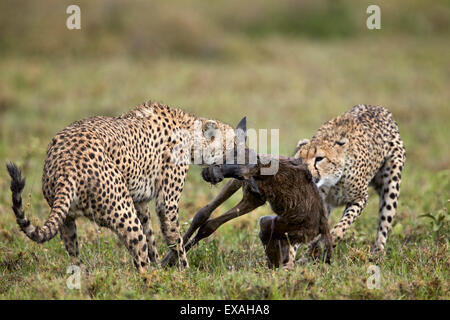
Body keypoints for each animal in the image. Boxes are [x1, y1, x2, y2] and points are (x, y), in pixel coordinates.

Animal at [5, 100, 243, 272]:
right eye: (233, 143)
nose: (242, 155)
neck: (189, 132)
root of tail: (66, 163)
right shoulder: (165, 203)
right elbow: (174, 238)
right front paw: (184, 273)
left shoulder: (140, 201)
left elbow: (151, 235)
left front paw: (160, 265)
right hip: (122, 211)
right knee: (139, 258)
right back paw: (151, 281)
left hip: (67, 217)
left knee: (73, 251)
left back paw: (82, 276)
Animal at [294, 105, 406, 255]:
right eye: (299, 160)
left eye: (319, 158)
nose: (305, 173)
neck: (332, 181)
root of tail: (377, 107)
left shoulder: (360, 198)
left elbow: (344, 224)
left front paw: (331, 239)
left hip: (391, 182)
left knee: (385, 219)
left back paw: (378, 251)